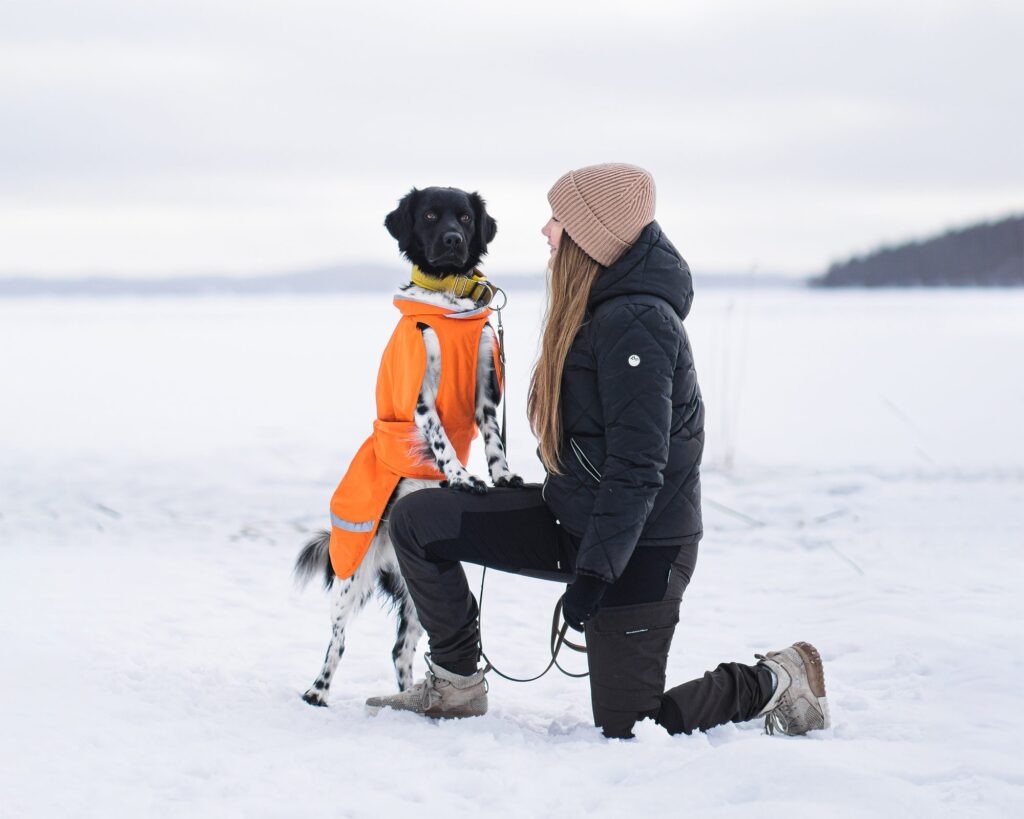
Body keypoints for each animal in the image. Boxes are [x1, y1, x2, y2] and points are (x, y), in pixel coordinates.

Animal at [294, 185, 520, 704]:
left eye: (464, 217)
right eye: (431, 216)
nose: (454, 239)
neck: (448, 301)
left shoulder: (486, 384)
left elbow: (494, 439)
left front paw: (502, 477)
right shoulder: (421, 397)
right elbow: (441, 441)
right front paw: (461, 477)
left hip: (420, 587)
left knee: (403, 649)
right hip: (353, 573)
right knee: (337, 638)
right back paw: (318, 690)